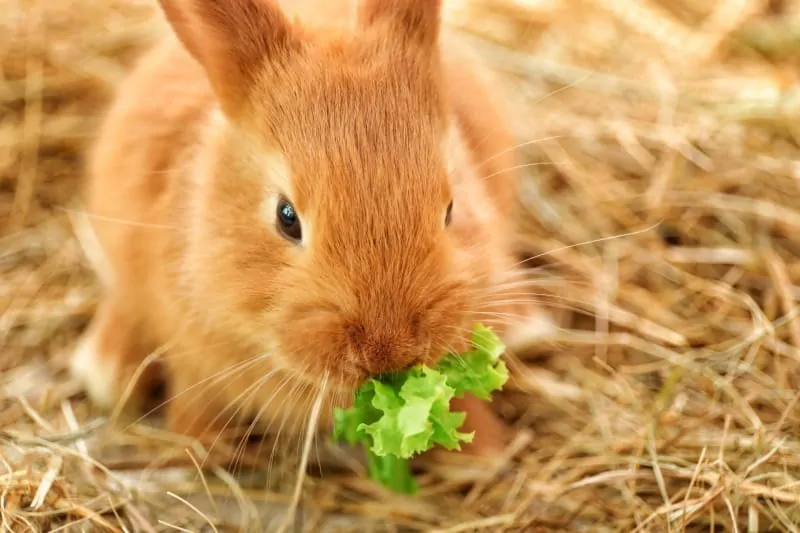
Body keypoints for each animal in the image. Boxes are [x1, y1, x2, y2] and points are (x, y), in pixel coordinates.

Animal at [70, 0, 556, 458]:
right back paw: (107, 369)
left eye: (451, 207)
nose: (388, 351)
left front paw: (485, 450)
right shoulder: (192, 355)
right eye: (287, 217)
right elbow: (194, 403)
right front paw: (204, 445)